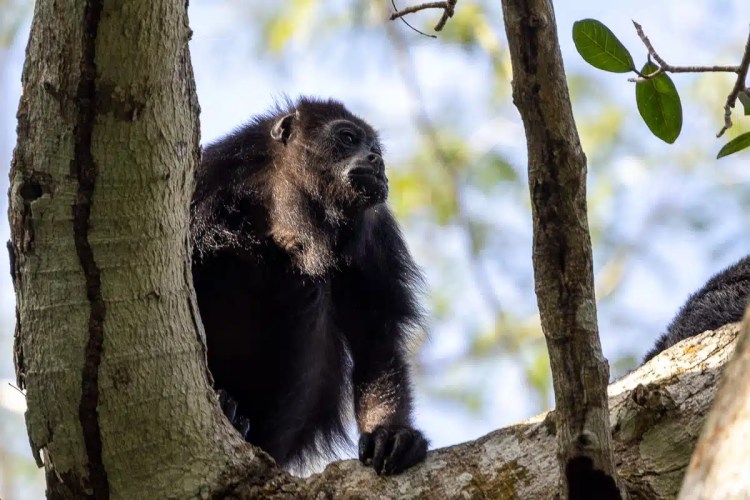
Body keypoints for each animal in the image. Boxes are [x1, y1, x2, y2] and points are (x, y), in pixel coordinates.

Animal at [190, 97, 428, 475]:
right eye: (348, 138)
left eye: (375, 150)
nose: (376, 160)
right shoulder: (210, 177)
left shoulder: (377, 231)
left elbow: (374, 334)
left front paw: (390, 433)